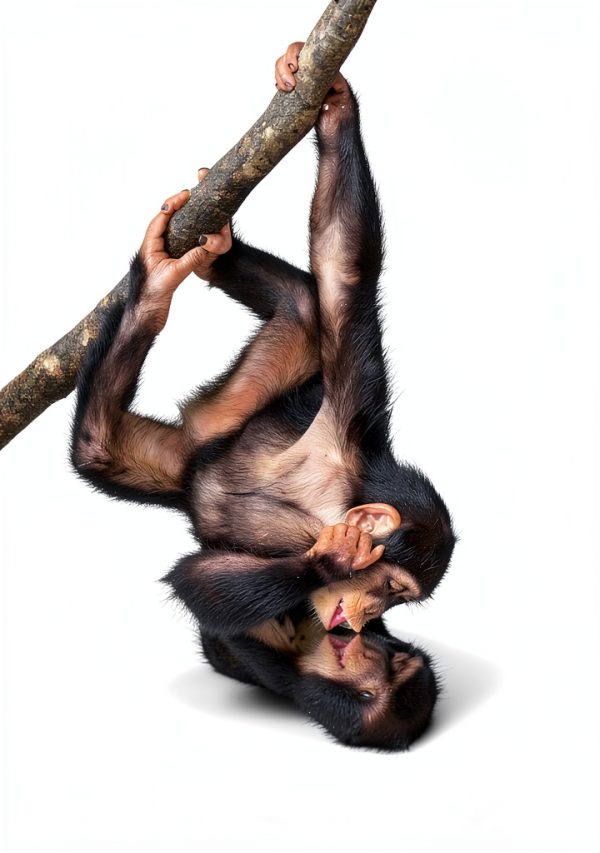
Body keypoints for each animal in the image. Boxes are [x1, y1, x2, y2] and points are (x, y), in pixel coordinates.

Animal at [71, 42, 456, 641]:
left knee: (299, 303)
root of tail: (200, 441)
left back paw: (204, 255)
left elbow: (198, 577)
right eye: (394, 590)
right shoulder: (352, 404)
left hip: (195, 436)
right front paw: (338, 558)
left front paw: (335, 103)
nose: (368, 617)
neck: (325, 510)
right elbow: (345, 271)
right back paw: (158, 284)